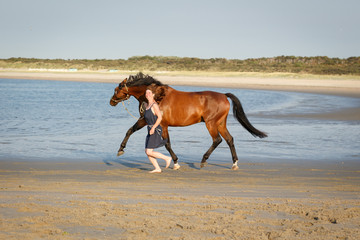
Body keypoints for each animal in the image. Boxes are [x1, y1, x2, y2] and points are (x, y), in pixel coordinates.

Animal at [109, 72, 268, 170]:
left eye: (116, 89)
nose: (111, 101)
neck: (157, 96)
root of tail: (224, 95)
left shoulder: (163, 124)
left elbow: (167, 144)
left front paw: (176, 162)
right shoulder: (145, 120)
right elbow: (130, 130)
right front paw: (120, 149)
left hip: (211, 123)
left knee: (217, 140)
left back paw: (203, 161)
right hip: (221, 123)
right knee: (230, 139)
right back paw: (234, 163)